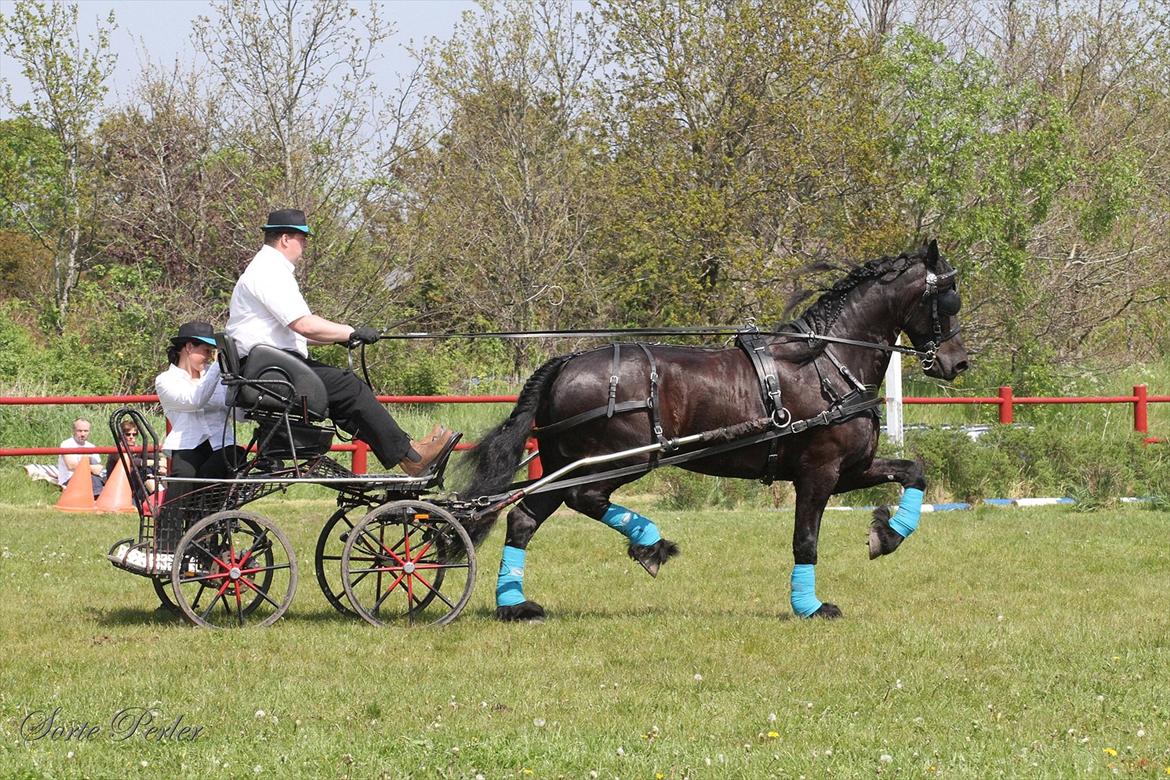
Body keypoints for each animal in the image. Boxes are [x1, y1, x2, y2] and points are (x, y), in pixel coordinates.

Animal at [460, 242, 964, 622]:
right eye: (949, 298)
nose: (958, 363)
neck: (826, 362)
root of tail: (566, 363)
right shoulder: (818, 473)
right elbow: (806, 540)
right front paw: (811, 606)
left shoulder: (851, 470)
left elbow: (914, 472)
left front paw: (888, 535)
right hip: (620, 460)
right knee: (584, 499)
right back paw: (651, 544)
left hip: (563, 462)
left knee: (524, 518)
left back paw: (515, 606)